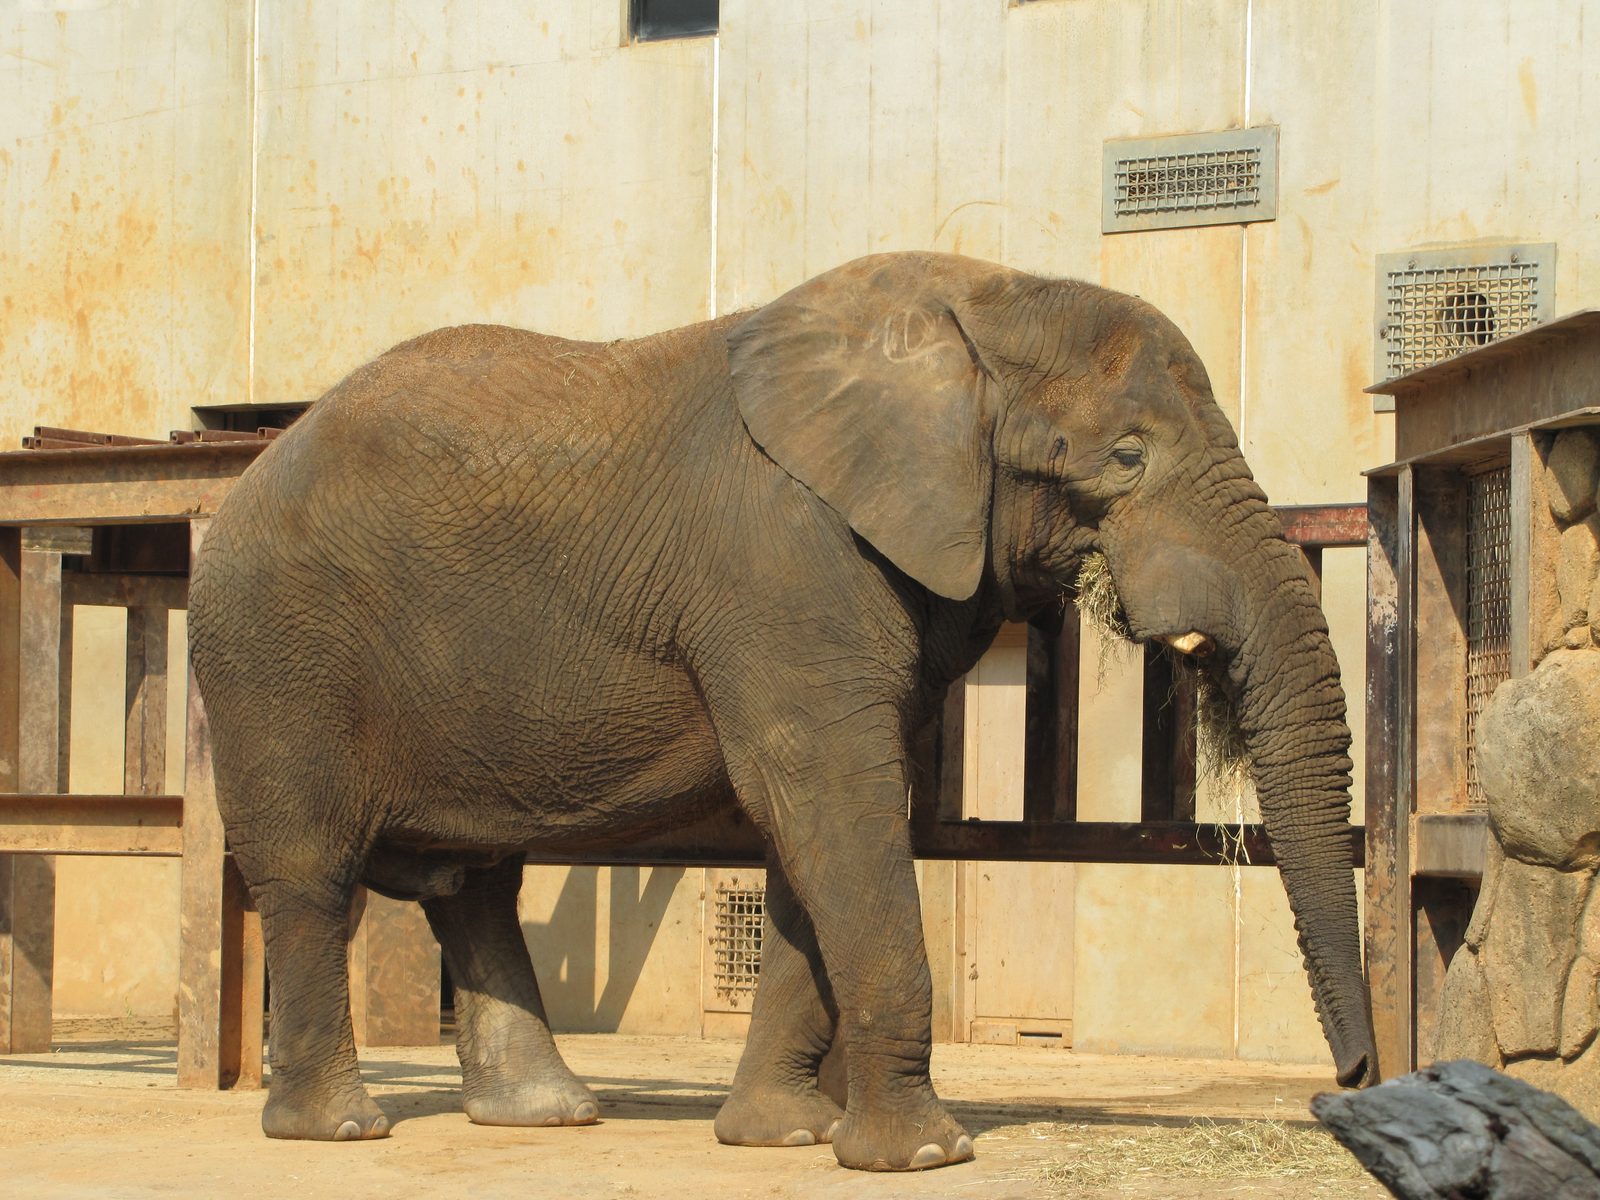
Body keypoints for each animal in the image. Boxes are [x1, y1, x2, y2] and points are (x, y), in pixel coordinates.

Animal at [187, 251, 1377, 1171]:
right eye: (1128, 455)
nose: (1350, 1084)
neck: (975, 303)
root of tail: (244, 473)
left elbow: (829, 823)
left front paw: (786, 1139)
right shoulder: (785, 558)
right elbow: (828, 799)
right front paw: (925, 1156)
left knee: (475, 883)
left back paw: (549, 1115)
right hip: (272, 655)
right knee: (310, 874)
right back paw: (339, 1131)